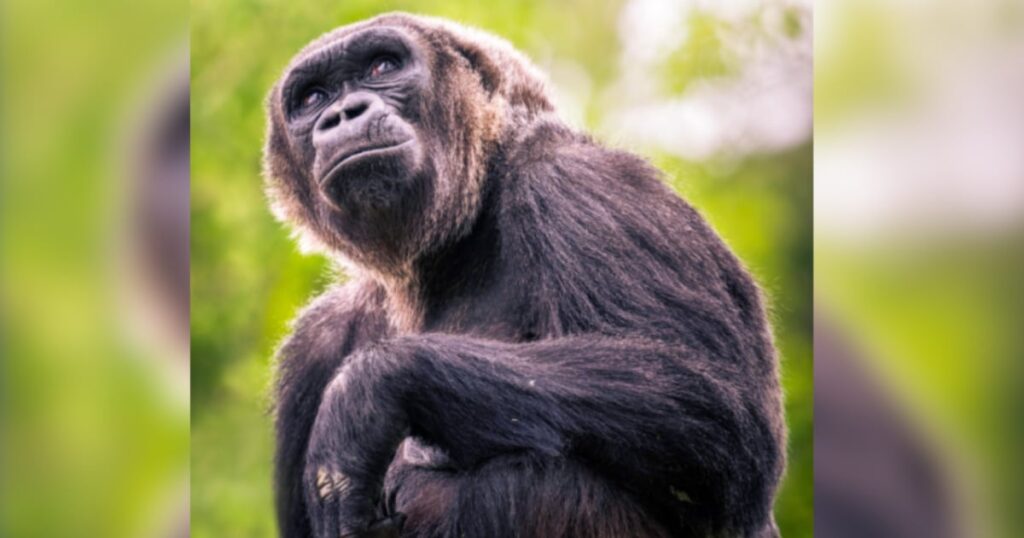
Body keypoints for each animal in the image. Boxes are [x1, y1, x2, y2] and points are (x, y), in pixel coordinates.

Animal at [263, 13, 785, 538]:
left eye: (382, 65)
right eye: (313, 98)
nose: (343, 113)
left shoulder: (583, 182)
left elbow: (714, 410)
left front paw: (364, 397)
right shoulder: (314, 342)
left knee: (539, 483)